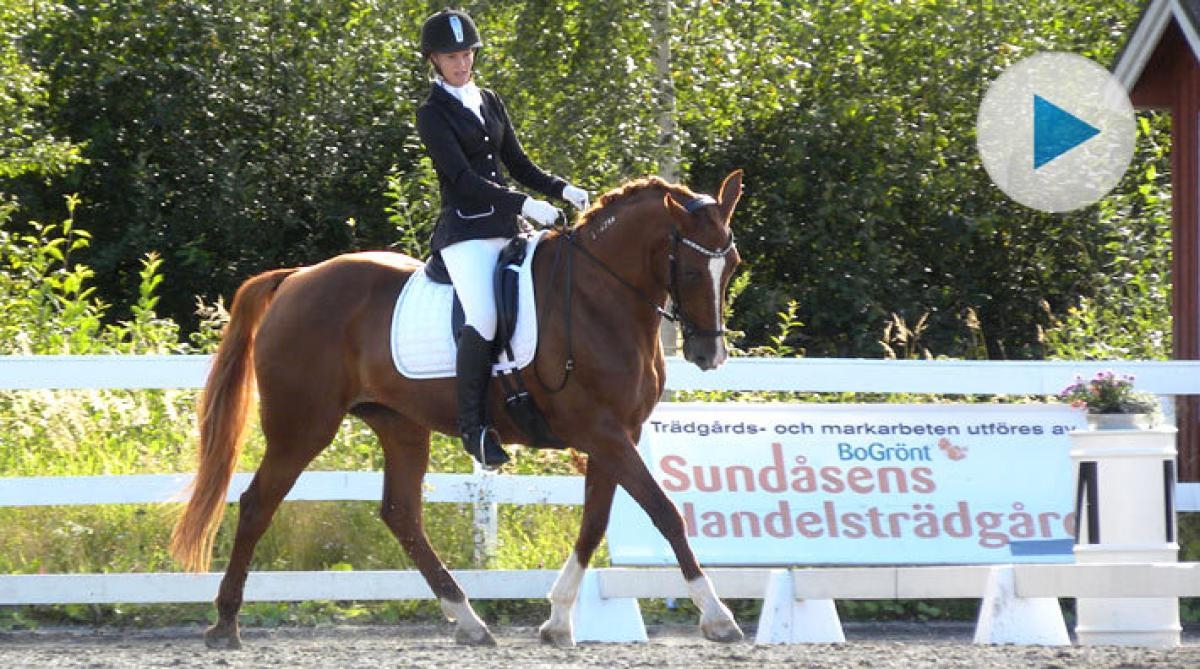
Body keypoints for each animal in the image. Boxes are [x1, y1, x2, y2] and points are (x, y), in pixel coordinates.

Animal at [166, 169, 748, 652]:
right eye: (690, 270)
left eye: (732, 266)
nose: (709, 355)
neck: (596, 297)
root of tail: (296, 278)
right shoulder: (602, 432)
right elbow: (664, 512)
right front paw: (718, 617)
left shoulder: (614, 433)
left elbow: (595, 522)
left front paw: (558, 621)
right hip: (302, 427)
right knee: (256, 504)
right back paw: (225, 624)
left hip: (399, 425)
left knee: (401, 515)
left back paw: (468, 620)